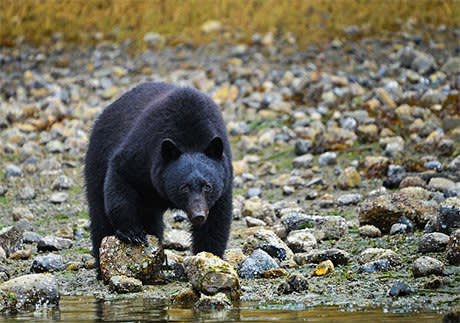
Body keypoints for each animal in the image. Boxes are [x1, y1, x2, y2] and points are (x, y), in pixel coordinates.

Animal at [83, 81, 234, 270]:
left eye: (207, 186)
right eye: (184, 187)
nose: (198, 215)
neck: (190, 139)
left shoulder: (224, 177)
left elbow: (216, 220)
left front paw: (209, 256)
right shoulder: (143, 152)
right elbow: (121, 176)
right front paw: (132, 232)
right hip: (97, 158)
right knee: (99, 215)